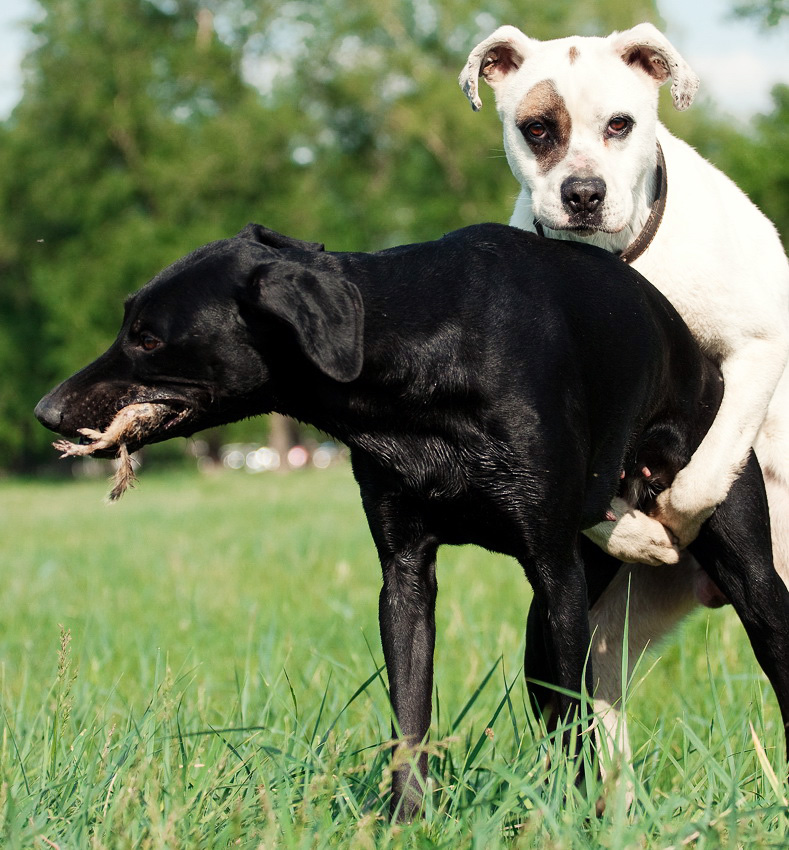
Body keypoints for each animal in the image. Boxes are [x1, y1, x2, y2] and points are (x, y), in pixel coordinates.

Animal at [33, 224, 784, 816]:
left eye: (148, 338)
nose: (46, 409)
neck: (413, 348)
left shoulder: (553, 570)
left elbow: (573, 725)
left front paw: (567, 820)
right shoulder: (403, 575)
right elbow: (410, 716)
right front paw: (407, 819)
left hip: (744, 582)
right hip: (544, 630)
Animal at [458, 24, 788, 768]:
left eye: (620, 124)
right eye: (537, 128)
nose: (583, 191)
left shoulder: (758, 349)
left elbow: (707, 468)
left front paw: (672, 513)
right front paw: (637, 530)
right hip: (576, 638)